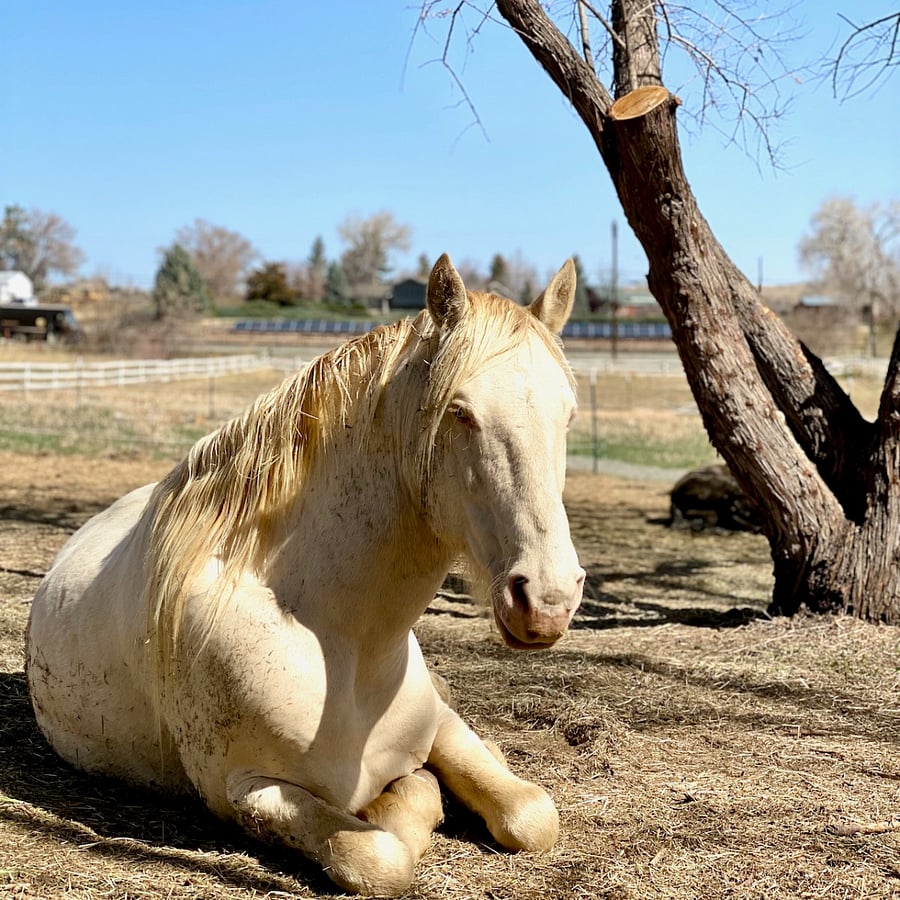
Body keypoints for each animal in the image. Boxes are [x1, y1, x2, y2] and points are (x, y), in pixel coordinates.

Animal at [26, 254, 585, 896]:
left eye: (568, 414)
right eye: (460, 412)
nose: (547, 599)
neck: (344, 646)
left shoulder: (441, 727)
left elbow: (531, 814)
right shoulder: (247, 790)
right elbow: (381, 852)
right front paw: (402, 799)